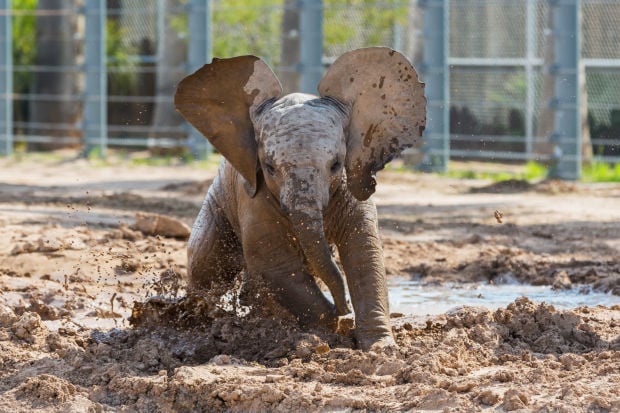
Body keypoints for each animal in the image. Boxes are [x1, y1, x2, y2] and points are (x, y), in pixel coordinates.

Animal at [174, 46, 426, 350]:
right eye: (269, 167)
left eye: (336, 165)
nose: (344, 308)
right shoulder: (254, 195)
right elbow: (276, 265)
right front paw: (333, 330)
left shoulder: (353, 183)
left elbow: (364, 254)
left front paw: (380, 349)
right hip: (217, 206)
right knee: (206, 264)